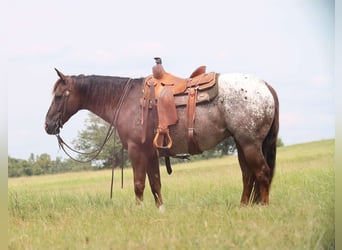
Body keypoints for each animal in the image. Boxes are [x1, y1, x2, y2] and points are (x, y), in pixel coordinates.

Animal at [45, 64, 280, 211]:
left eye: (59, 96)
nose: (48, 125)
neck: (126, 100)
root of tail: (265, 85)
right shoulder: (151, 153)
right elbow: (155, 184)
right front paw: (160, 211)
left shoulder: (137, 150)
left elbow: (139, 184)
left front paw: (138, 211)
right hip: (242, 144)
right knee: (248, 176)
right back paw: (243, 207)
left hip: (250, 144)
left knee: (262, 173)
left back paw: (264, 208)